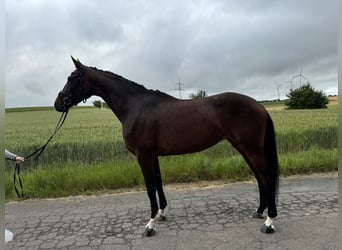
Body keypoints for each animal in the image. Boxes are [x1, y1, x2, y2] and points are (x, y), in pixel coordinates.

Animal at [53, 57, 278, 236]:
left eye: (72, 78)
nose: (57, 104)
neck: (136, 106)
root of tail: (259, 105)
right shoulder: (153, 155)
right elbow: (159, 183)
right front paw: (161, 214)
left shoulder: (143, 156)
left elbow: (150, 186)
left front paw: (150, 225)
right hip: (242, 147)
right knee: (259, 177)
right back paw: (260, 212)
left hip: (251, 148)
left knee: (267, 176)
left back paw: (269, 222)